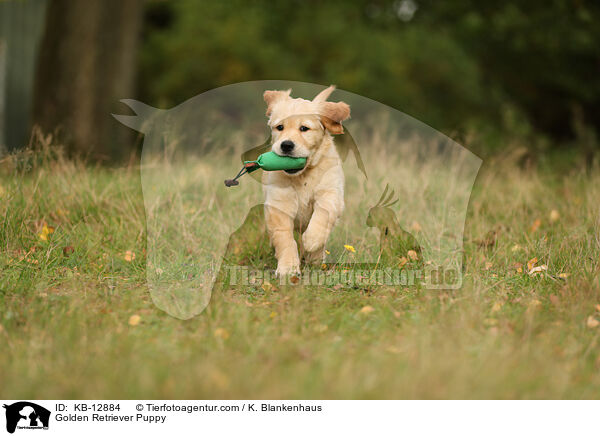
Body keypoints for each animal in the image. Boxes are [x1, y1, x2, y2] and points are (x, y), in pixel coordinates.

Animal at [262, 85, 352, 276]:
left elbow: (323, 213)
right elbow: (285, 238)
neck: (302, 175)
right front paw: (288, 266)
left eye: (304, 128)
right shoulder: (279, 204)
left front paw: (312, 239)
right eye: (279, 127)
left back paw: (315, 257)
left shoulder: (331, 193)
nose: (286, 145)